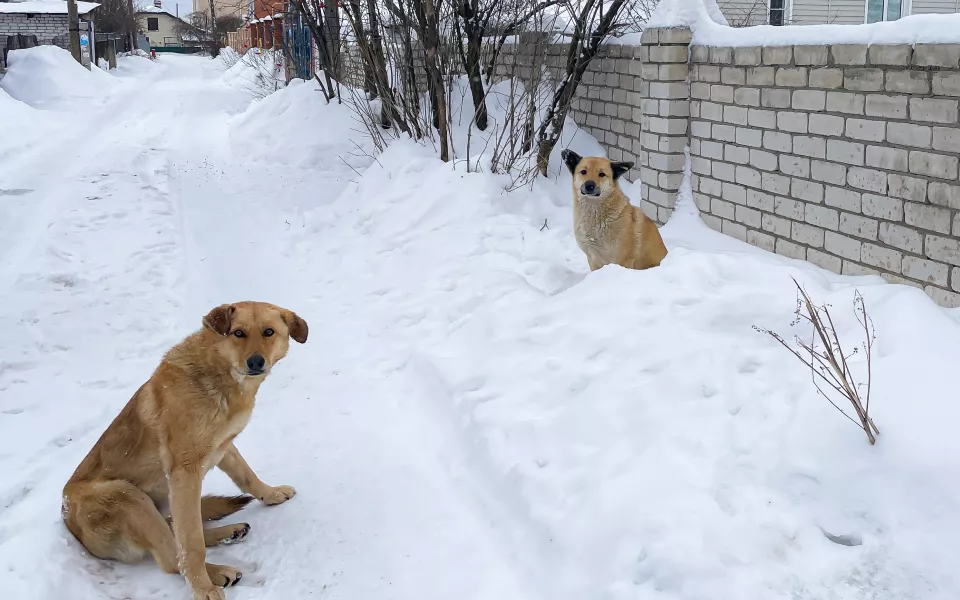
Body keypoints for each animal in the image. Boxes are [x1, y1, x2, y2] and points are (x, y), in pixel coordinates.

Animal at [62, 302, 308, 600]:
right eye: (238, 333)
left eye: (269, 332)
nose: (255, 362)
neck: (217, 375)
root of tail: (68, 522)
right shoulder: (184, 473)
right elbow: (191, 545)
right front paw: (203, 588)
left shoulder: (223, 446)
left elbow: (246, 475)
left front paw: (271, 494)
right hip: (128, 497)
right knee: (171, 557)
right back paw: (217, 571)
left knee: (174, 532)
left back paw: (230, 531)